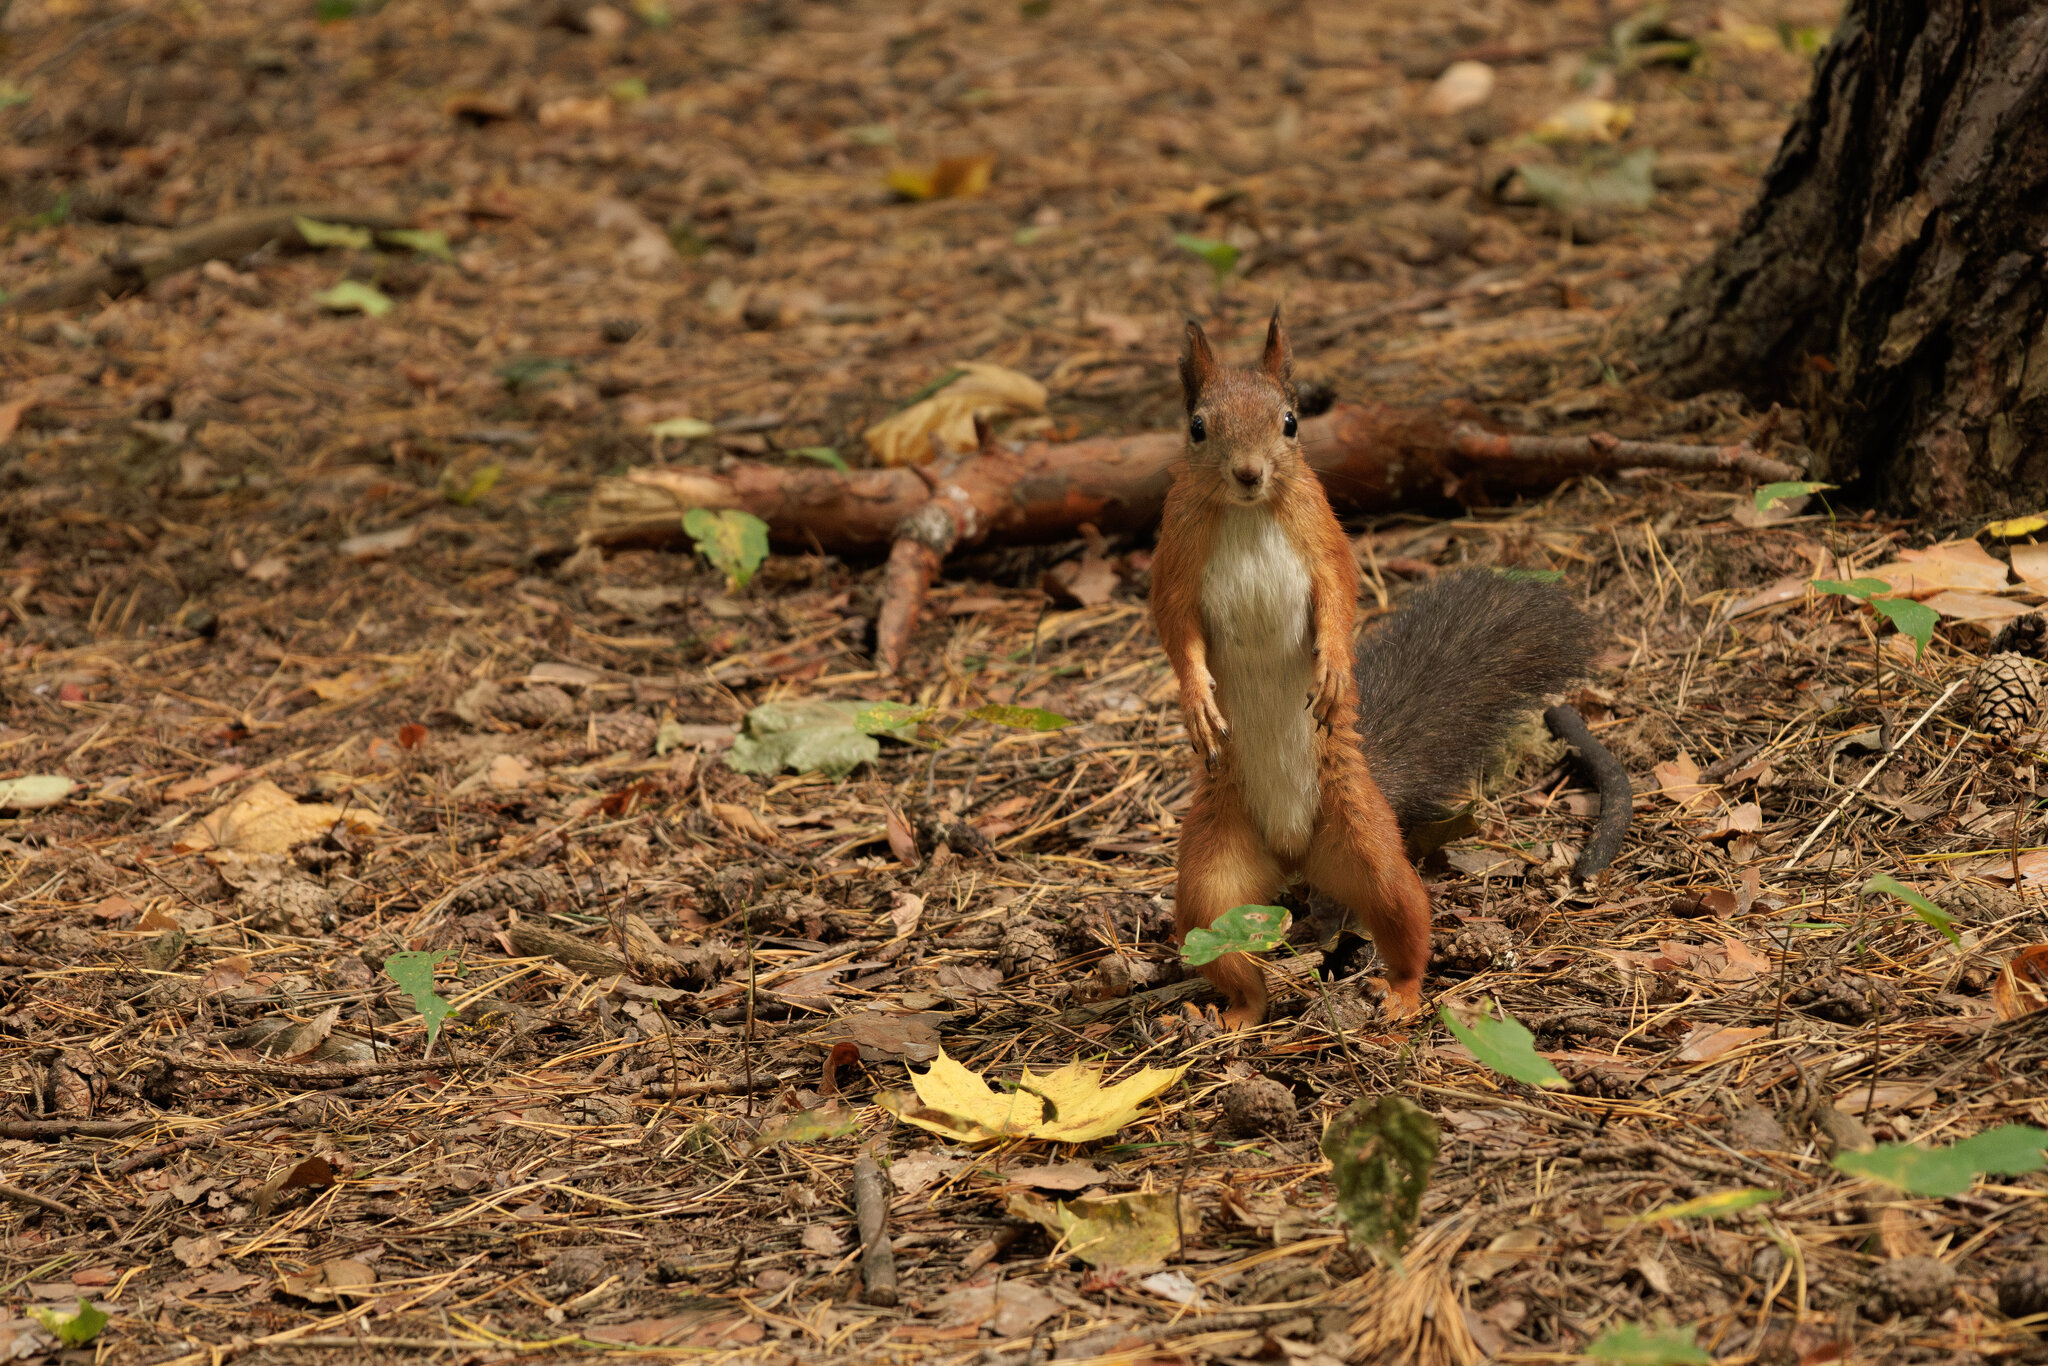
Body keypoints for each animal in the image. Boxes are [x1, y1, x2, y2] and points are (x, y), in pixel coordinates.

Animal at [1149, 312, 1596, 1028]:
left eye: (1291, 421)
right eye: (1196, 426)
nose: (1248, 473)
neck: (1247, 514)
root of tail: (1294, 855)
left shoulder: (1323, 534)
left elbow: (1339, 596)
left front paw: (1334, 670)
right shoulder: (1175, 557)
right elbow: (1175, 632)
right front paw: (1197, 701)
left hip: (1368, 847)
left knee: (1406, 920)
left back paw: (1401, 998)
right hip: (1211, 882)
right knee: (1228, 955)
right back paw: (1238, 1016)